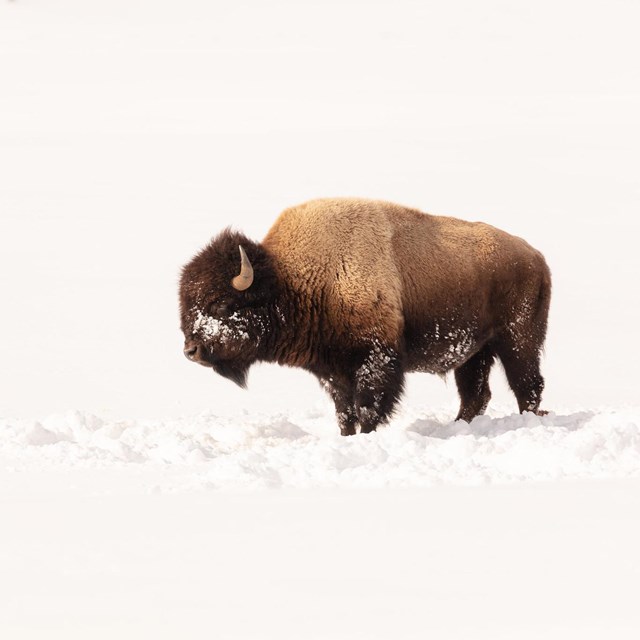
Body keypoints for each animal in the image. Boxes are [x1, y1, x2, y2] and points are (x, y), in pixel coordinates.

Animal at [180, 196, 552, 436]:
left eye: (221, 305)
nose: (191, 351)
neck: (294, 278)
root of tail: (535, 256)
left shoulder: (376, 359)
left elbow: (367, 407)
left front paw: (367, 436)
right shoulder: (332, 371)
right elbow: (344, 411)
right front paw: (347, 437)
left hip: (518, 340)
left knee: (527, 385)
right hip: (475, 352)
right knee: (476, 394)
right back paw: (457, 427)